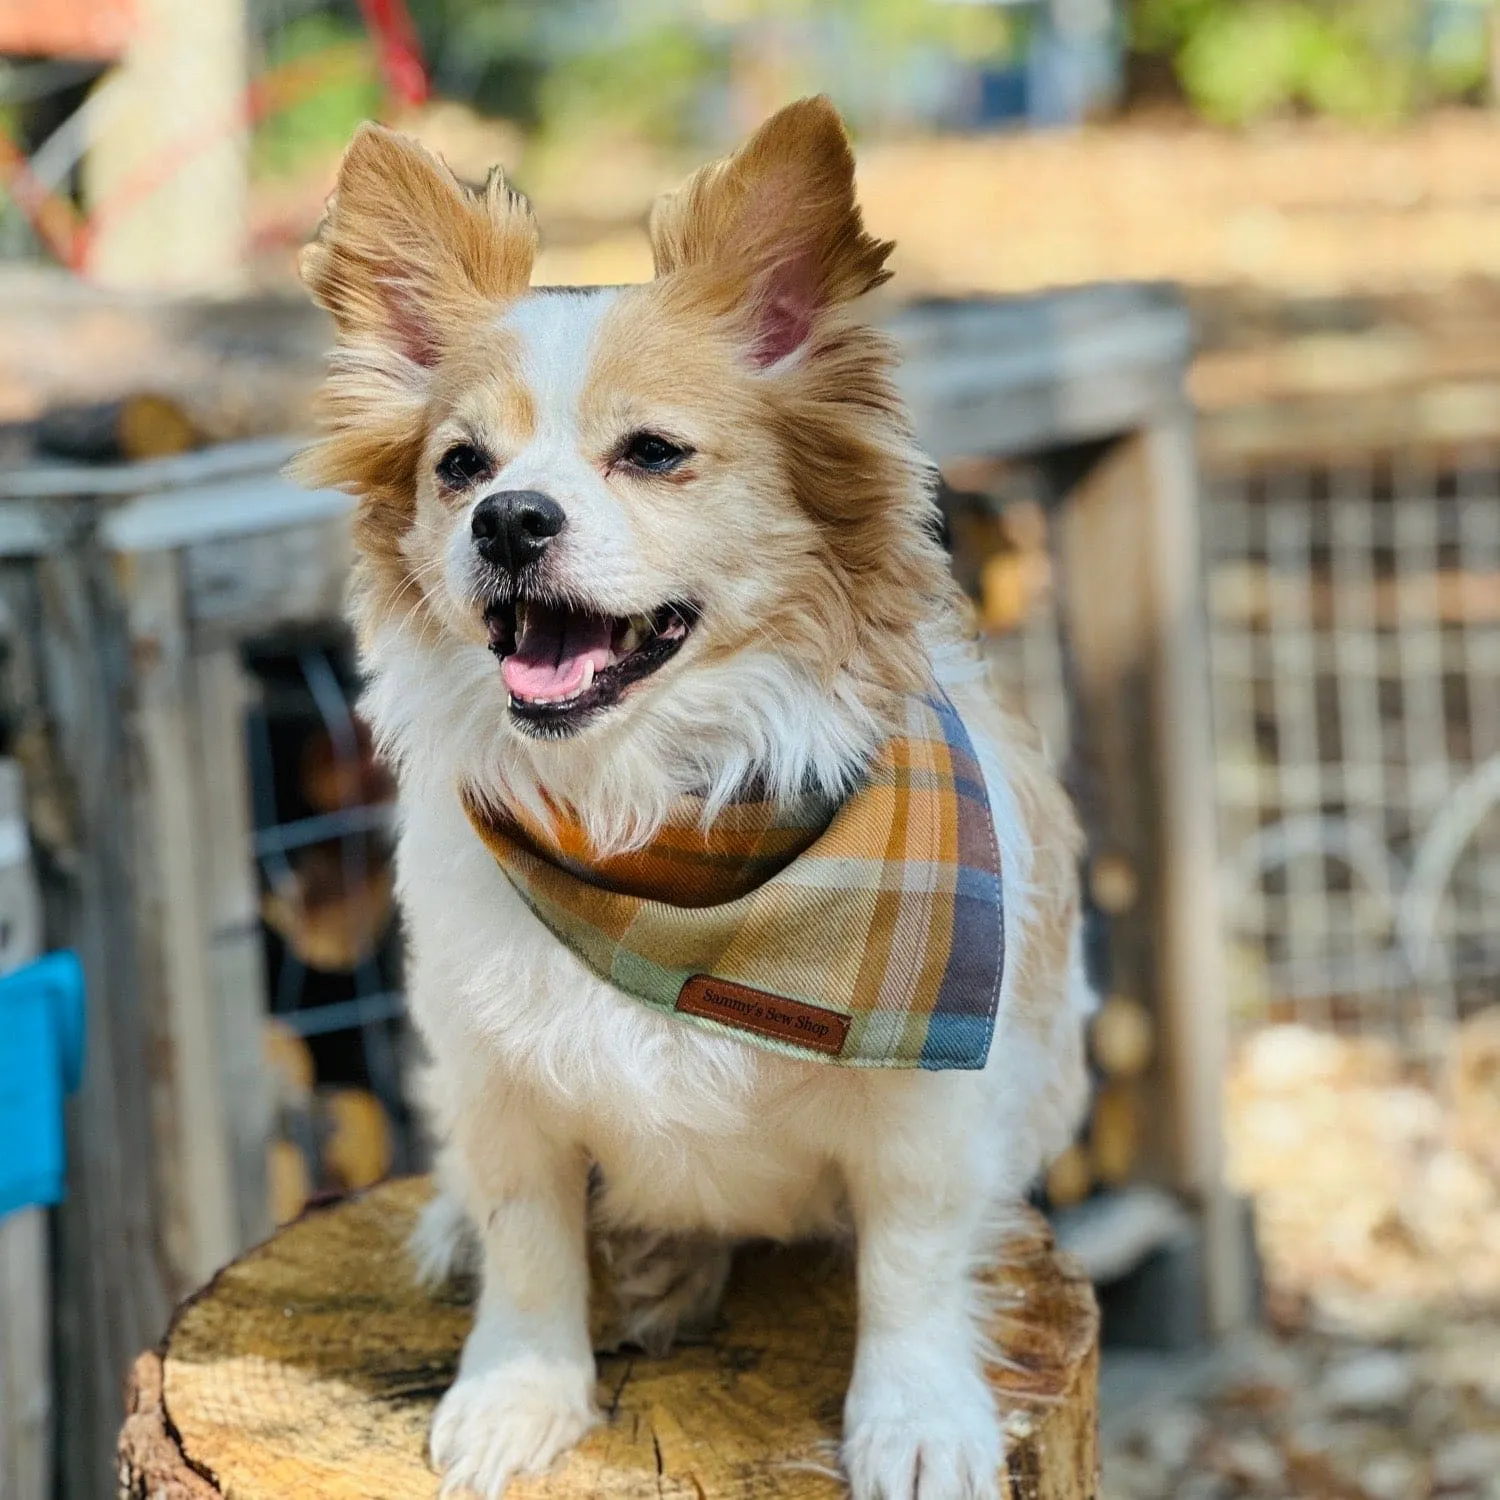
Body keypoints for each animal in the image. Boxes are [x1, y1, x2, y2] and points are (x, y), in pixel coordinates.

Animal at [295, 96, 1092, 1500]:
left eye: (654, 453)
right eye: (460, 467)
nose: (508, 518)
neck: (656, 829)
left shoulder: (932, 1103)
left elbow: (912, 1260)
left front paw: (915, 1415)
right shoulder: (496, 1076)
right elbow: (528, 1238)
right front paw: (519, 1394)